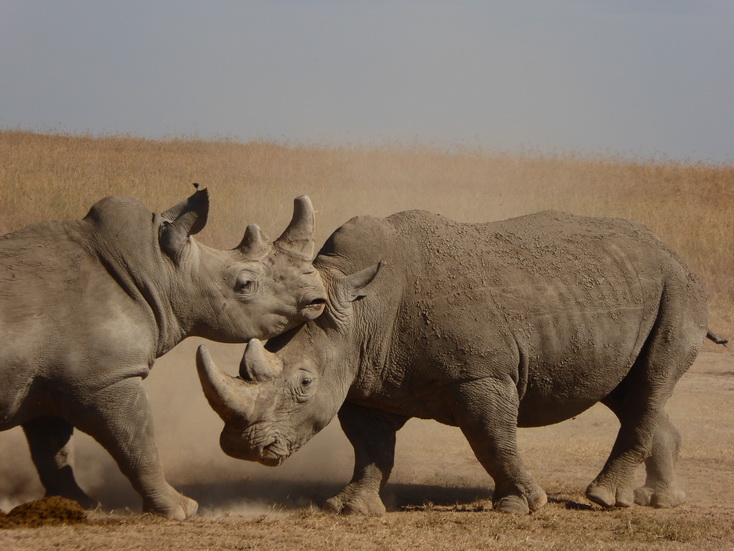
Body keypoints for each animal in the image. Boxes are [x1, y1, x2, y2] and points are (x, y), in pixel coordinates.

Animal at [0, 188, 328, 520]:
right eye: (246, 284)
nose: (318, 297)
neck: (159, 270)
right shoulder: (107, 378)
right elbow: (137, 443)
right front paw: (181, 510)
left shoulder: (49, 381)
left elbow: (53, 452)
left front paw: (78, 504)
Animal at [197, 209, 724, 516]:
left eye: (304, 383)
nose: (242, 448)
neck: (361, 310)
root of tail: (671, 250)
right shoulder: (362, 379)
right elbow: (370, 447)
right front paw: (350, 509)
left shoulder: (481, 374)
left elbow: (492, 439)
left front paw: (521, 507)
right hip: (621, 291)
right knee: (628, 392)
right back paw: (661, 500)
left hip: (677, 288)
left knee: (649, 384)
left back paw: (602, 500)